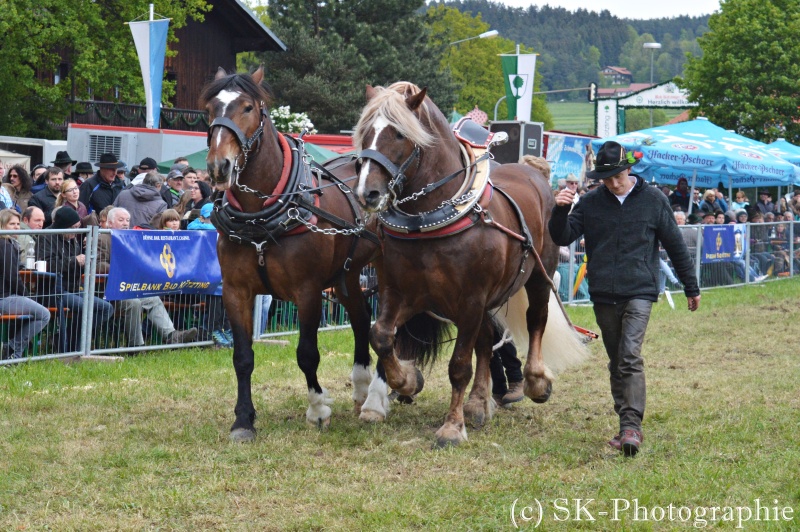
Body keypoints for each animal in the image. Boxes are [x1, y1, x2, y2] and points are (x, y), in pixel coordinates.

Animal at [200, 67, 388, 440]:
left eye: (248, 107)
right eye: (211, 108)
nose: (218, 167)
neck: (260, 217)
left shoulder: (307, 291)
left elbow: (307, 354)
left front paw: (317, 409)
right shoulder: (236, 291)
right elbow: (242, 357)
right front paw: (243, 420)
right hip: (347, 274)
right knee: (361, 320)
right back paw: (361, 387)